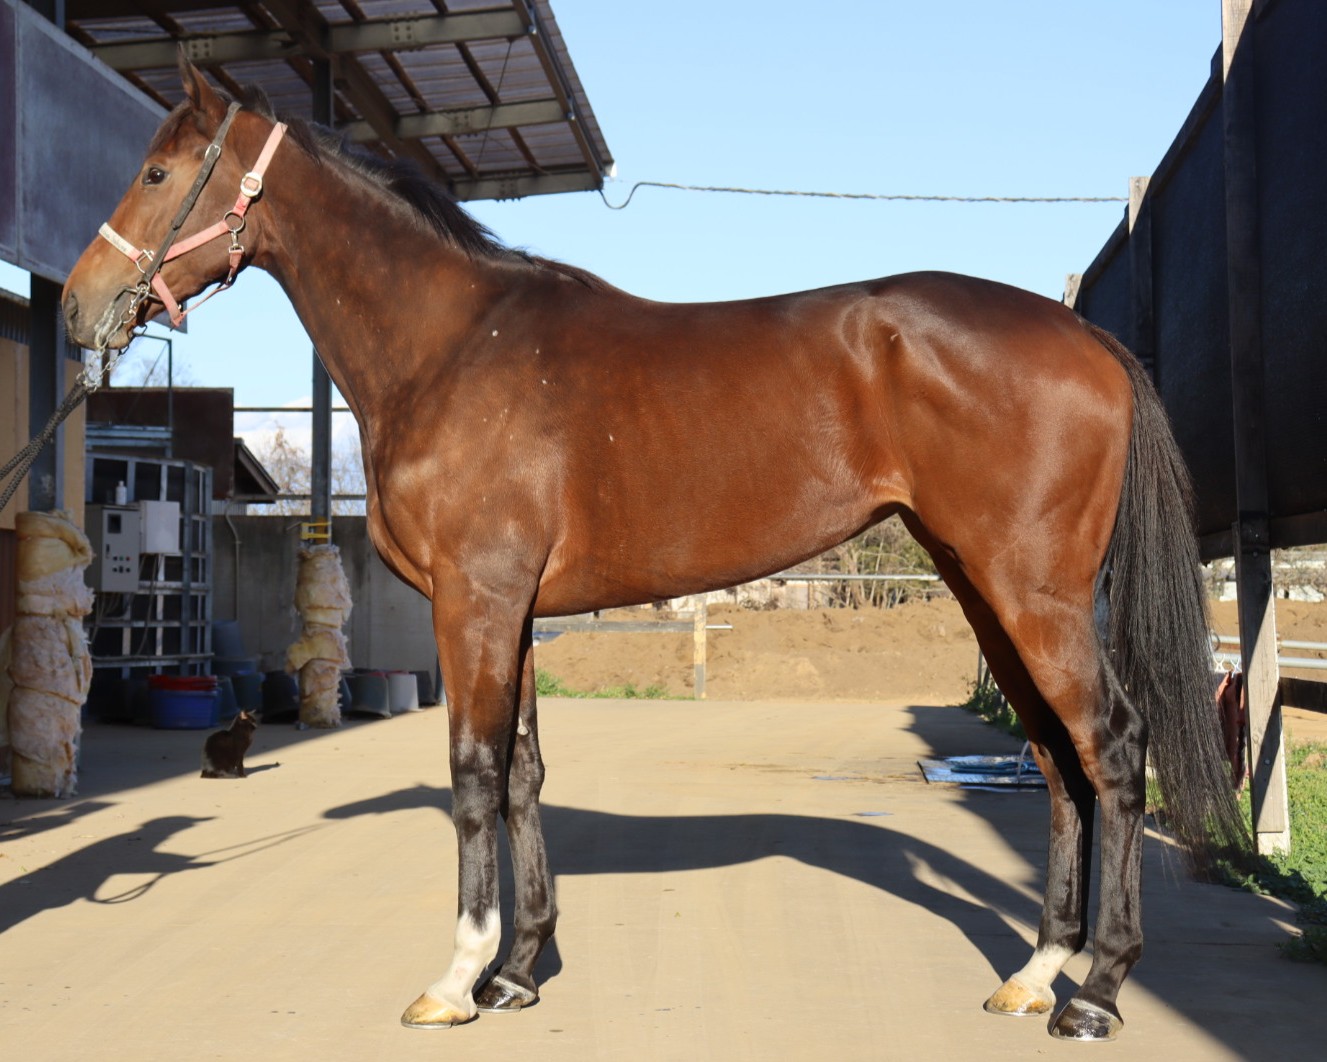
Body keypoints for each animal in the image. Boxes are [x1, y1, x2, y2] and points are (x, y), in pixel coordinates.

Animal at [61, 57, 1247, 1042]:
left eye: (159, 170)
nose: (78, 308)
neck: (454, 347)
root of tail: (1087, 337)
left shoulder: (474, 602)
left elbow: (473, 771)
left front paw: (457, 980)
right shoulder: (513, 612)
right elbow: (525, 773)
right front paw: (520, 971)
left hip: (1031, 593)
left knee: (1113, 748)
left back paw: (1096, 993)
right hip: (983, 589)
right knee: (1054, 758)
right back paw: (1036, 974)